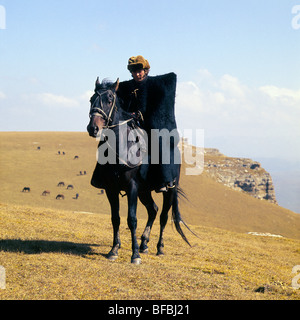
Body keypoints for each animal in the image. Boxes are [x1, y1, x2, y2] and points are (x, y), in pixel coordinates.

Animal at [86, 77, 190, 264]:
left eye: (110, 99)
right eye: (92, 99)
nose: (93, 128)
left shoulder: (132, 187)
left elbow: (132, 219)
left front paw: (134, 255)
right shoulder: (111, 189)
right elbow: (115, 219)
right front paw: (114, 250)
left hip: (169, 189)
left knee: (163, 216)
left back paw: (159, 248)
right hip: (144, 191)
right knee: (153, 210)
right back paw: (144, 243)